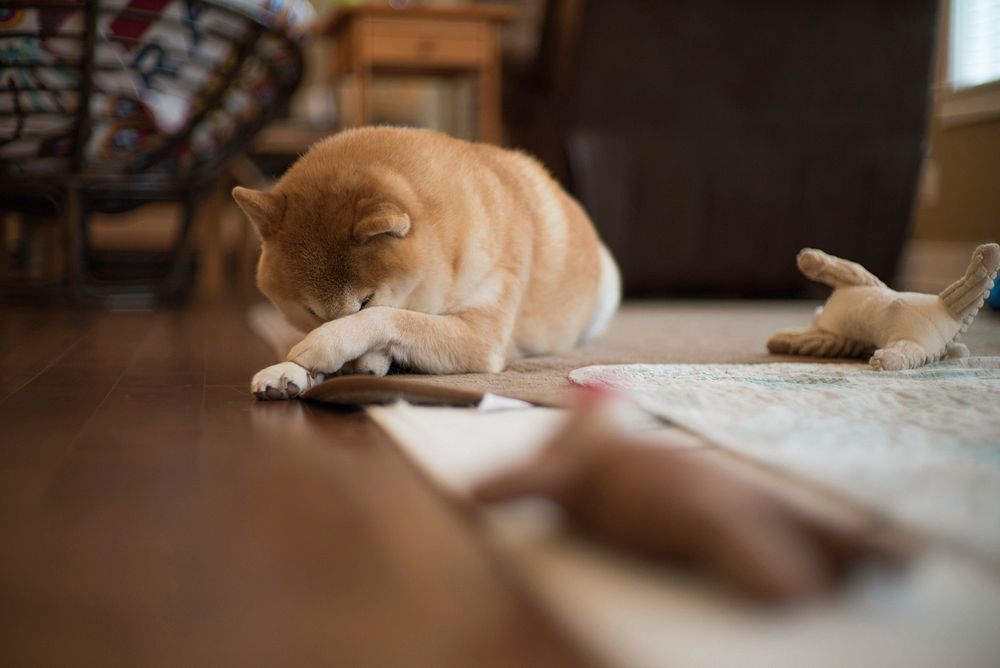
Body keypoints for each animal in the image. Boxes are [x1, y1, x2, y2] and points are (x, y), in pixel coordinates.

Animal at [235, 126, 620, 396]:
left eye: (365, 301)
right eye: (311, 313)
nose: (349, 371)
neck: (453, 246)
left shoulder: (479, 336)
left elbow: (391, 316)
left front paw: (324, 345)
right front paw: (288, 369)